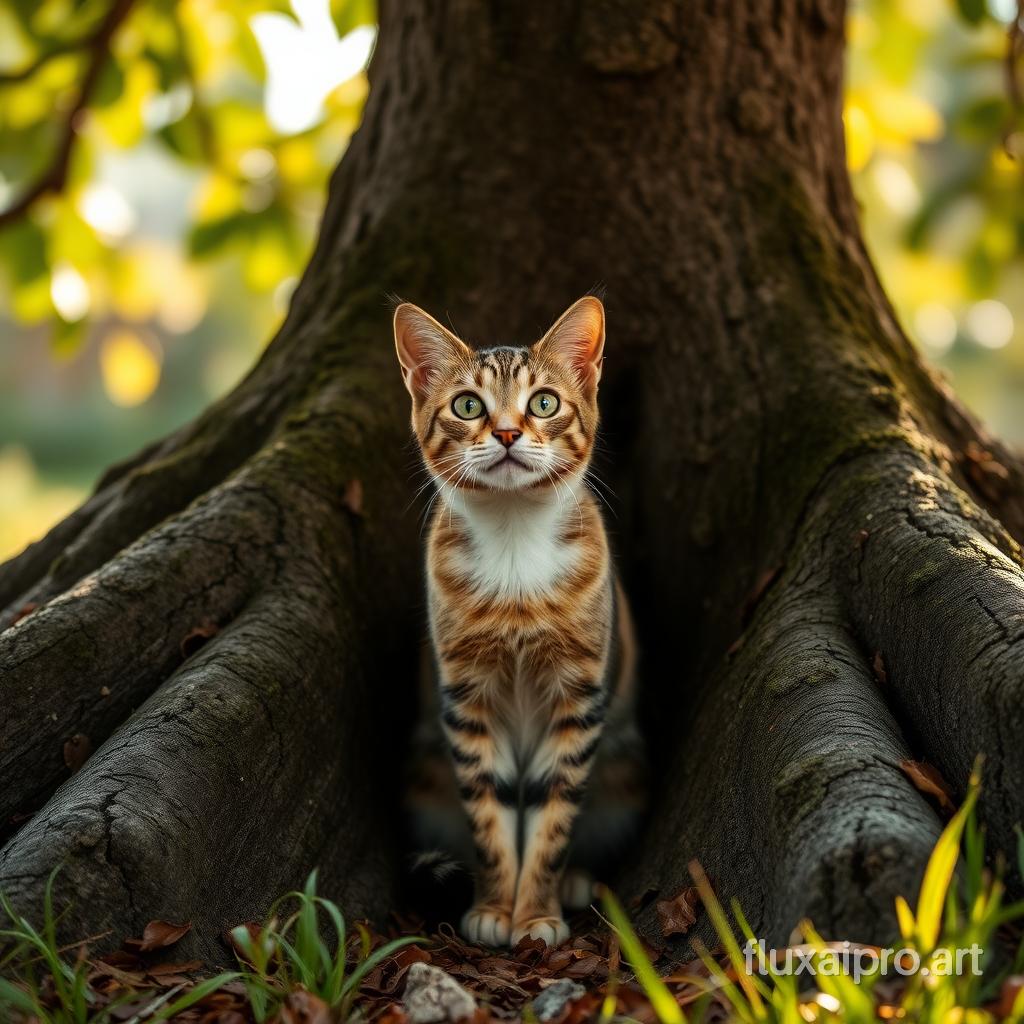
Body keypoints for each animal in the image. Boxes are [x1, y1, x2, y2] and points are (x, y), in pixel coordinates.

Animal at [393, 294, 643, 942]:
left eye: (544, 402)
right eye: (468, 405)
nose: (506, 432)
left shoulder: (579, 699)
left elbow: (554, 819)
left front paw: (536, 914)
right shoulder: (467, 699)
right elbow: (489, 813)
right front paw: (493, 908)